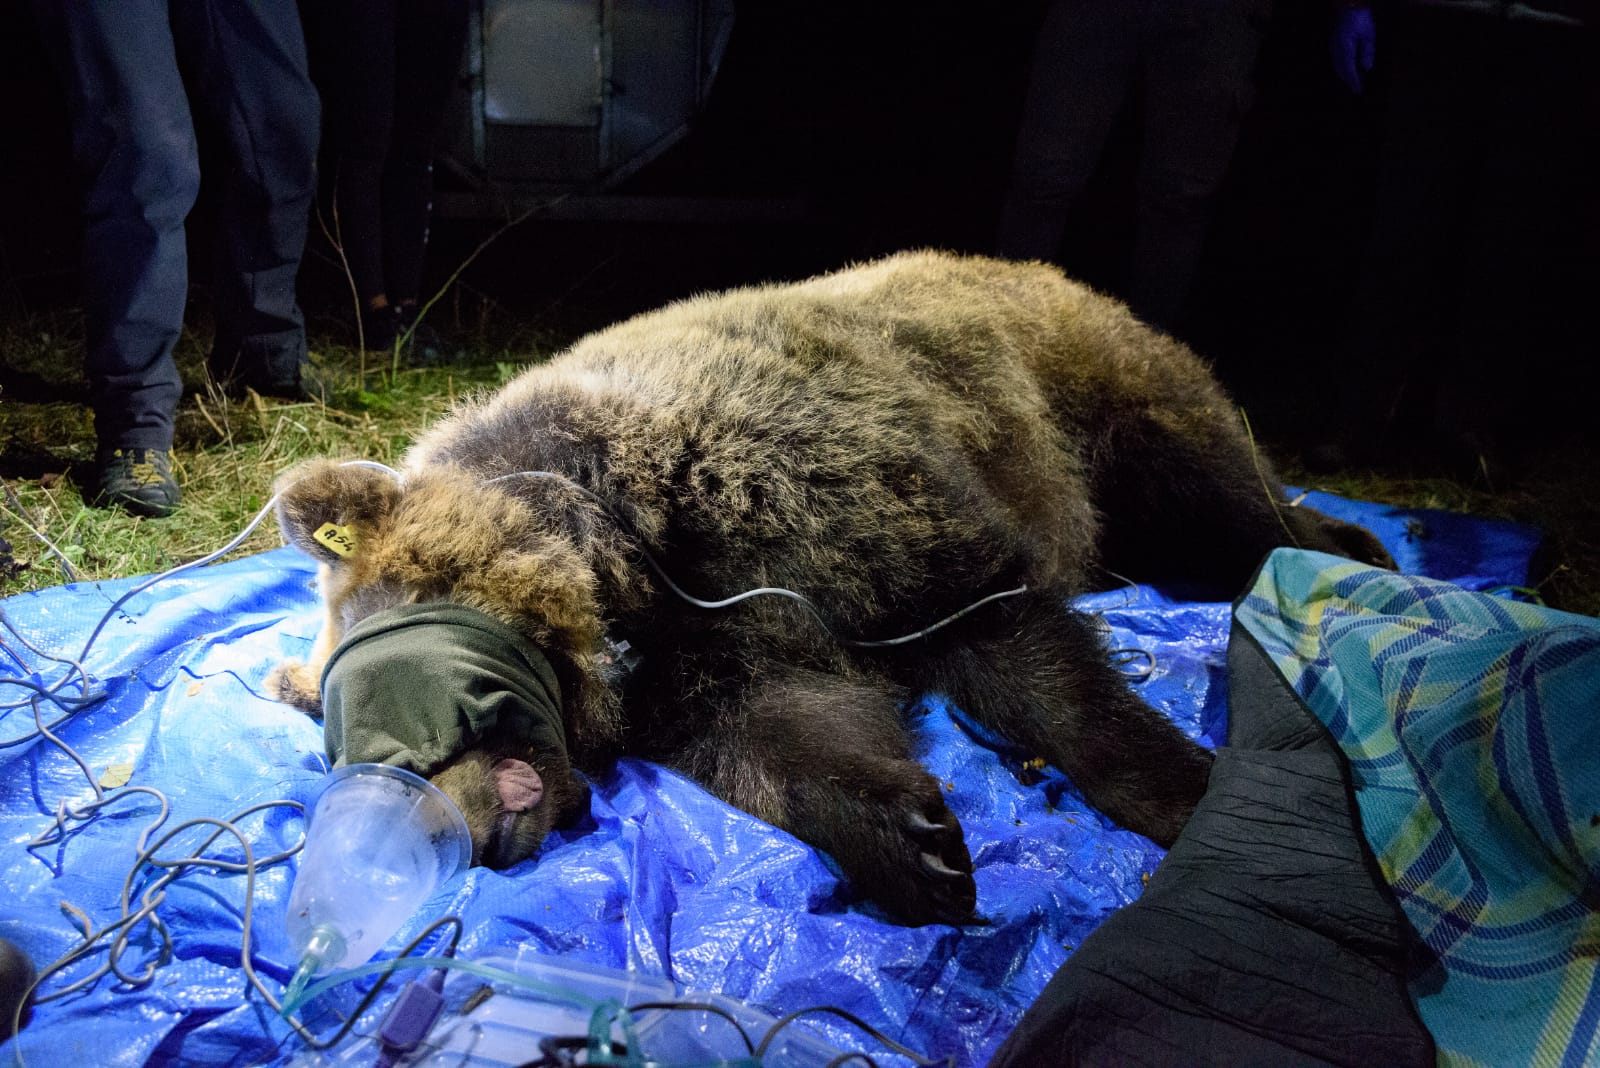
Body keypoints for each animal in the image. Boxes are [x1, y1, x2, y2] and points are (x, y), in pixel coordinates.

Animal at [269, 250, 1391, 928]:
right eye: (340, 742)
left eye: (396, 693)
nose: (449, 831)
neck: (626, 553)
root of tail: (1046, 270)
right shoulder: (718, 652)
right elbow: (795, 736)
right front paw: (919, 846)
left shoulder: (832, 506)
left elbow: (1021, 648)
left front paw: (1187, 797)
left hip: (1108, 406)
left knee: (1230, 503)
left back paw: (1355, 546)